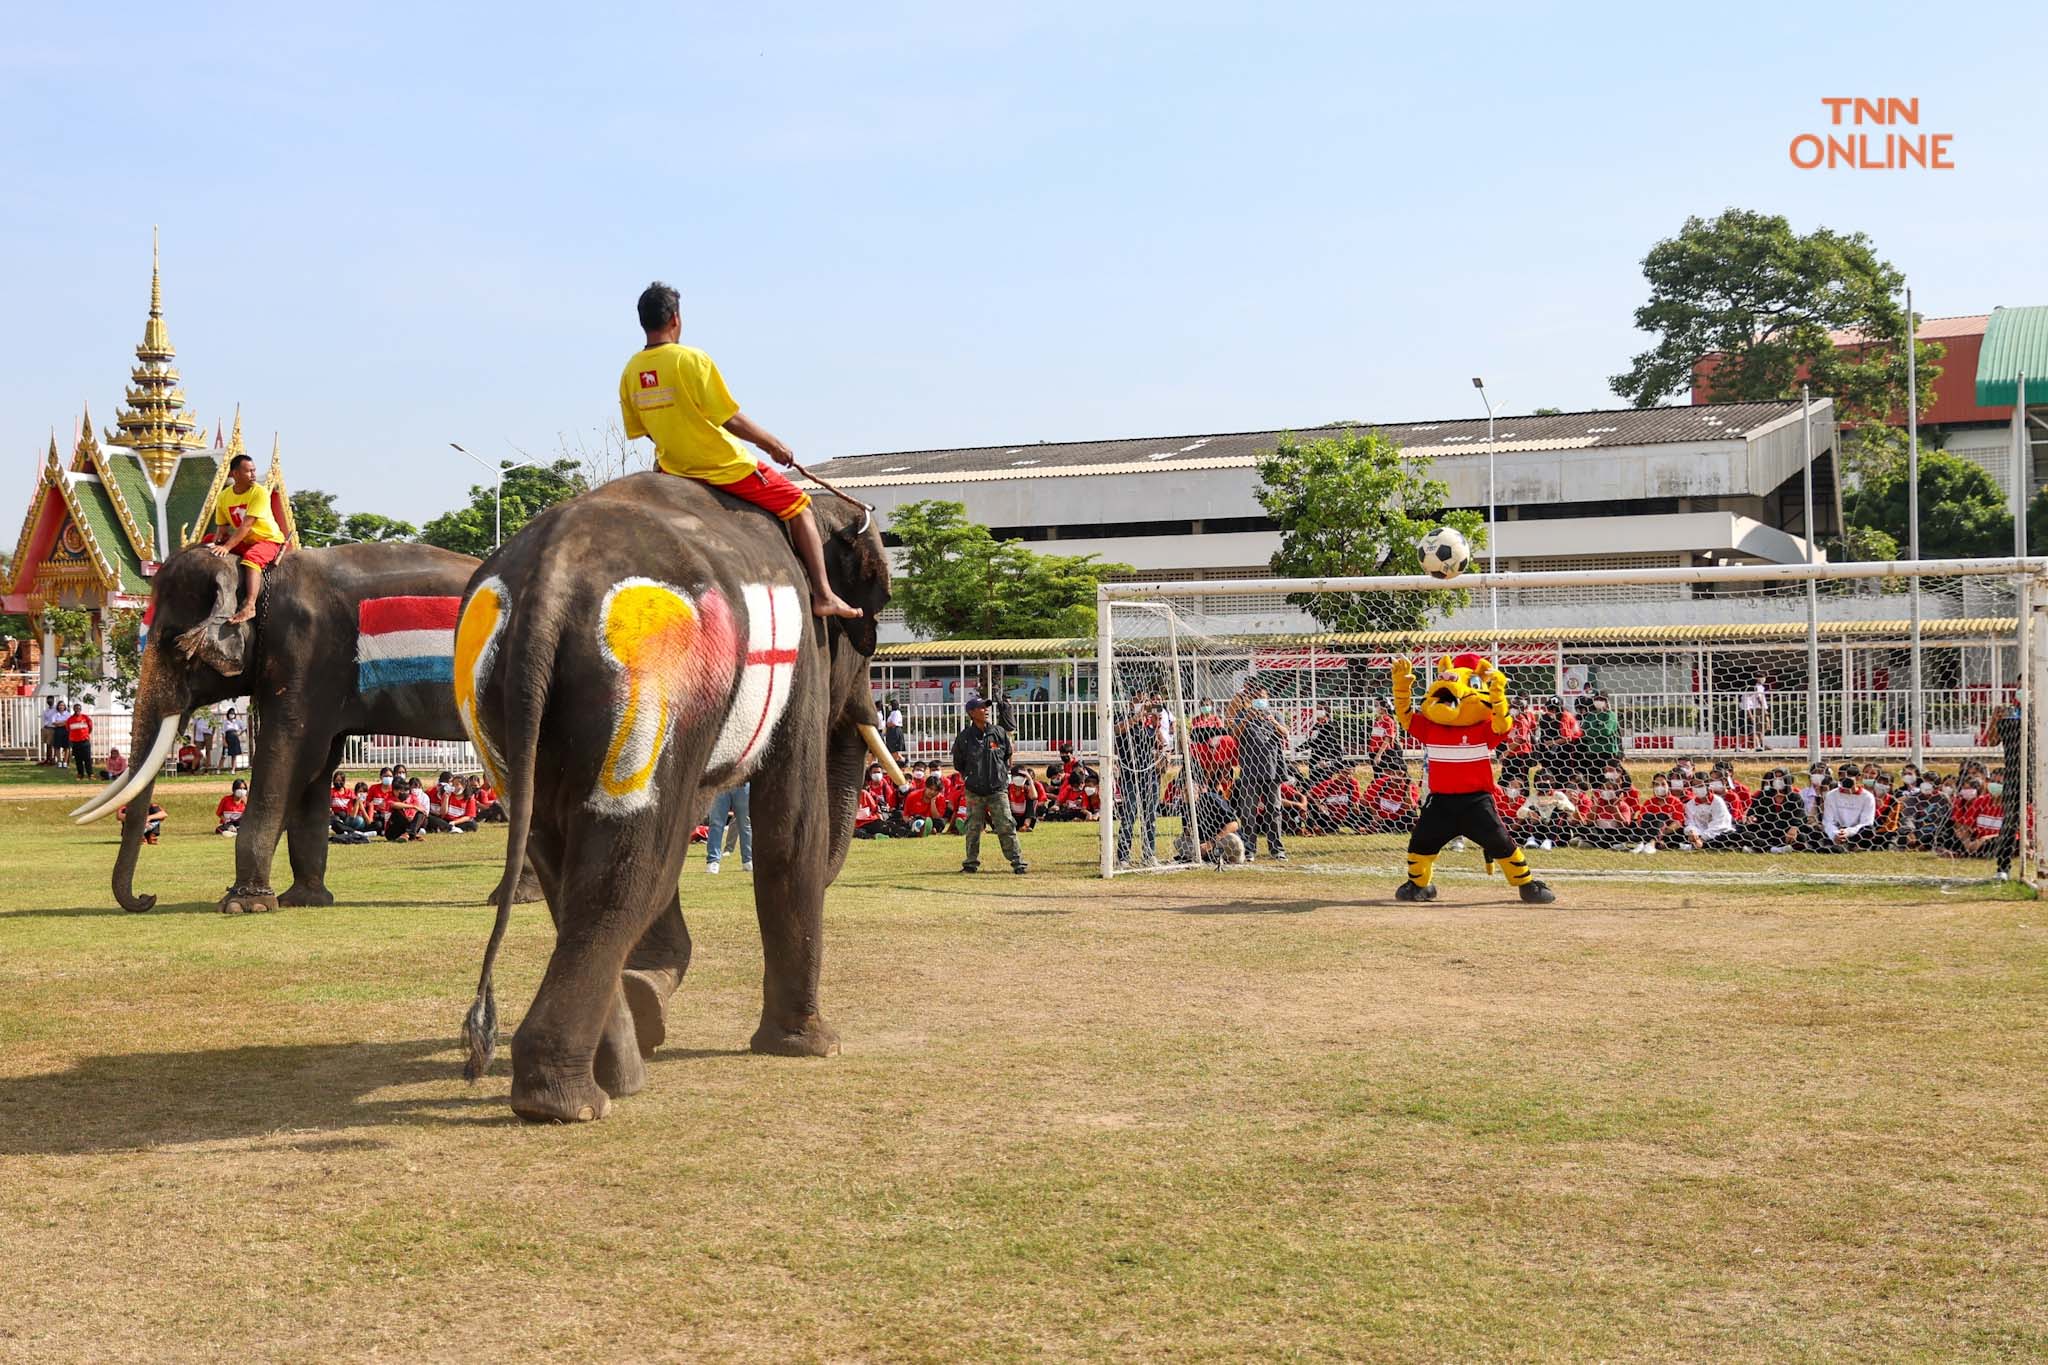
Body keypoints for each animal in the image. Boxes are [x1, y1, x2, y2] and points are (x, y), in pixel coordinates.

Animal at [72, 540, 536, 912]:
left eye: (172, 642)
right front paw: (304, 900)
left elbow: (288, 755)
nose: (147, 898)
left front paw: (243, 906)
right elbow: (315, 767)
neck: (259, 578)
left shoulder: (305, 654)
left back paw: (513, 898)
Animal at [460, 474, 892, 1129]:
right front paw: (814, 1047)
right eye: (872, 618)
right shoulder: (804, 664)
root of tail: (546, 586)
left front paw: (651, 994)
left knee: (571, 861)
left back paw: (616, 1073)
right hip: (656, 686)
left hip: (506, 704)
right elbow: (791, 829)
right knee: (634, 870)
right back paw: (572, 1103)